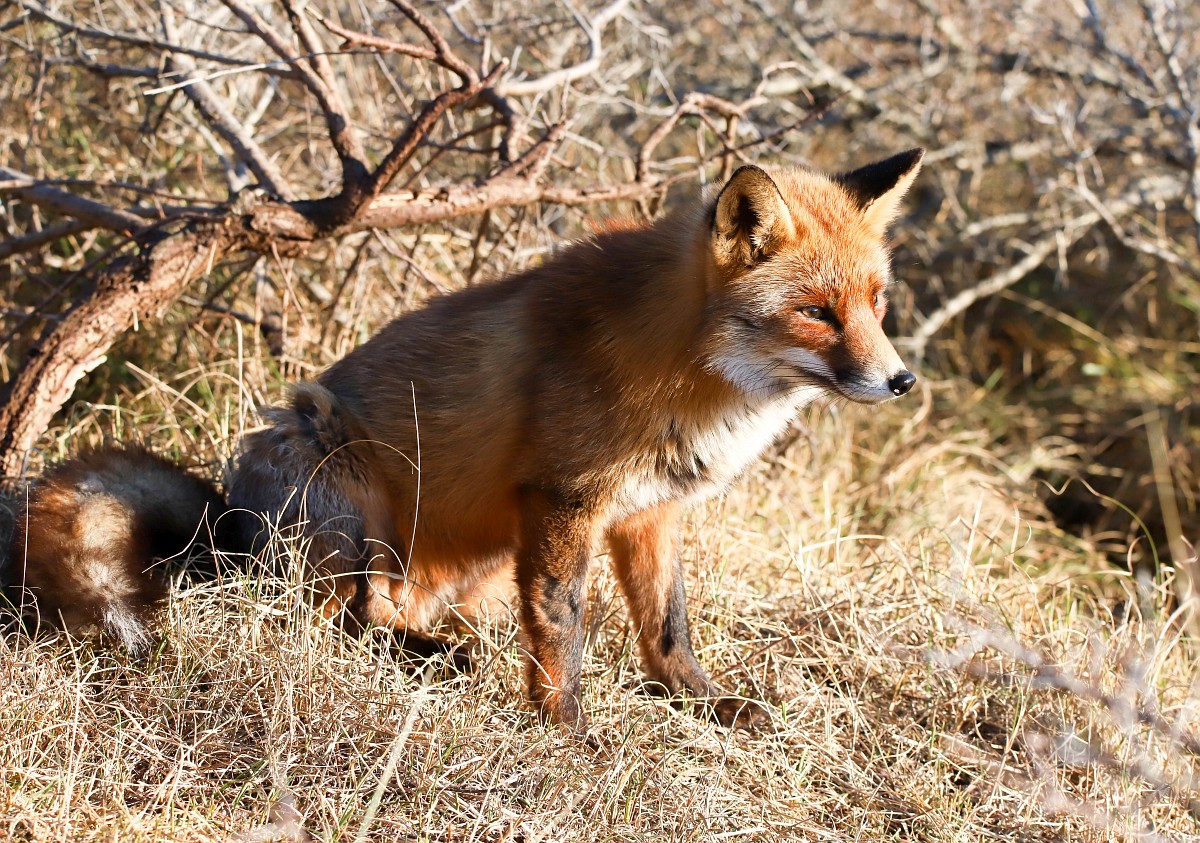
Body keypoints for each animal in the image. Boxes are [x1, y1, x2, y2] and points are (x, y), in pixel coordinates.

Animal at [3, 148, 924, 731]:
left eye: (877, 301)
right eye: (816, 311)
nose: (902, 381)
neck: (685, 368)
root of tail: (229, 523)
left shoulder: (647, 511)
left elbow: (668, 627)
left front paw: (700, 703)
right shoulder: (562, 496)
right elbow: (560, 625)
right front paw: (567, 728)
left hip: (466, 556)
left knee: (383, 615)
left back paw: (443, 649)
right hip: (346, 490)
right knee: (330, 621)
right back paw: (430, 658)